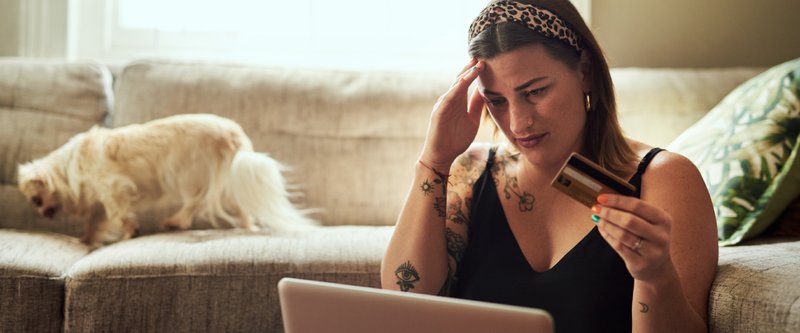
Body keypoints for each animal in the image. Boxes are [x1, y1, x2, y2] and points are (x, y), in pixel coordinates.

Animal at [17, 114, 314, 244]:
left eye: (37, 200)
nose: (41, 213)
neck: (69, 167)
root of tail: (234, 135)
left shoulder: (113, 188)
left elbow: (118, 215)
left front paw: (130, 231)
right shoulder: (100, 202)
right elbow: (97, 221)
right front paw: (86, 240)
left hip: (185, 173)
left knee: (195, 202)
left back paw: (175, 221)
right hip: (225, 183)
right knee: (241, 208)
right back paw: (246, 227)